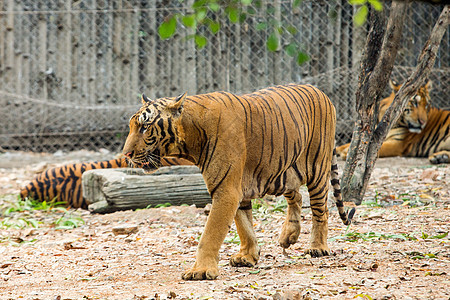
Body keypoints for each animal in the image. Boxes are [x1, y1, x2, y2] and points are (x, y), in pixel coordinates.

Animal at [123, 83, 356, 280]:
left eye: (144, 127)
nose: (126, 154)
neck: (190, 138)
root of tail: (322, 92)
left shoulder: (226, 189)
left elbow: (210, 234)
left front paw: (201, 270)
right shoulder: (233, 187)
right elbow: (243, 225)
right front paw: (248, 256)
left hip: (317, 168)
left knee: (320, 210)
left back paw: (318, 247)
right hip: (283, 173)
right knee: (296, 196)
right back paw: (288, 236)